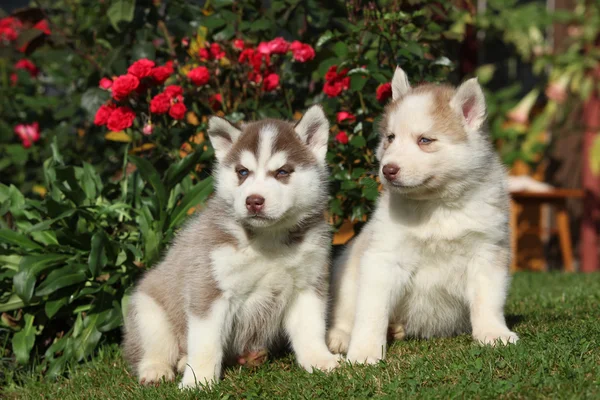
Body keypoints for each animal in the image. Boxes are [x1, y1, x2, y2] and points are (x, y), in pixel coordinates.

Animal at [122, 105, 340, 388]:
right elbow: (205, 343)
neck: (268, 240)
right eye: (242, 172)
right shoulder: (210, 290)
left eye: (282, 172)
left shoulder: (308, 284)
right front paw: (198, 381)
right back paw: (156, 369)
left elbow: (311, 330)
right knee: (153, 348)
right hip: (148, 309)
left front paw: (320, 361)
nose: (254, 200)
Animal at [326, 66, 516, 362]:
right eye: (391, 138)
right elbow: (371, 313)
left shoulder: (487, 252)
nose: (388, 169)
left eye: (425, 140)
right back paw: (341, 337)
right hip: (345, 270)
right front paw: (365, 350)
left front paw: (493, 333)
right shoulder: (383, 259)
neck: (436, 205)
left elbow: (488, 300)